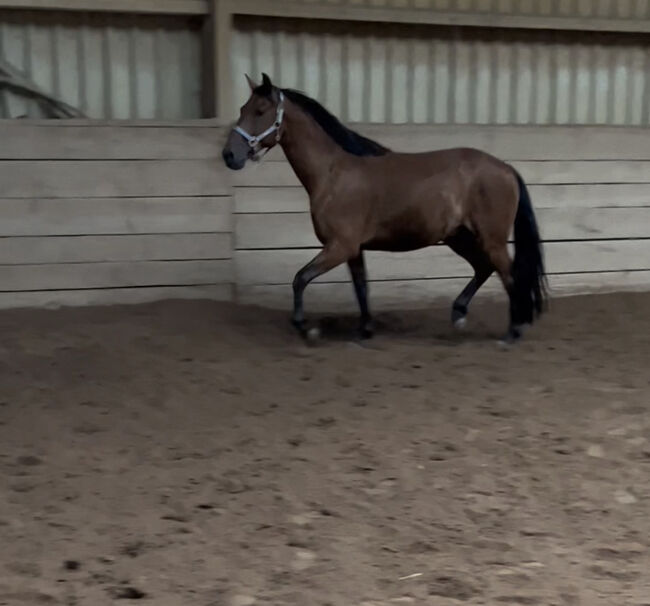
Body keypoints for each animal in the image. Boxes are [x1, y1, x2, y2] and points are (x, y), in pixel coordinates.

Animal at [220, 73, 544, 344]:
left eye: (260, 111)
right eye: (242, 108)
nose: (229, 155)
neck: (333, 173)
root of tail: (506, 169)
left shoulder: (339, 246)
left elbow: (300, 279)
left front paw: (305, 327)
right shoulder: (352, 249)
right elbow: (361, 287)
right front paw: (364, 330)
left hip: (490, 239)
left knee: (509, 274)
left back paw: (513, 331)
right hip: (459, 237)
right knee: (484, 267)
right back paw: (460, 314)